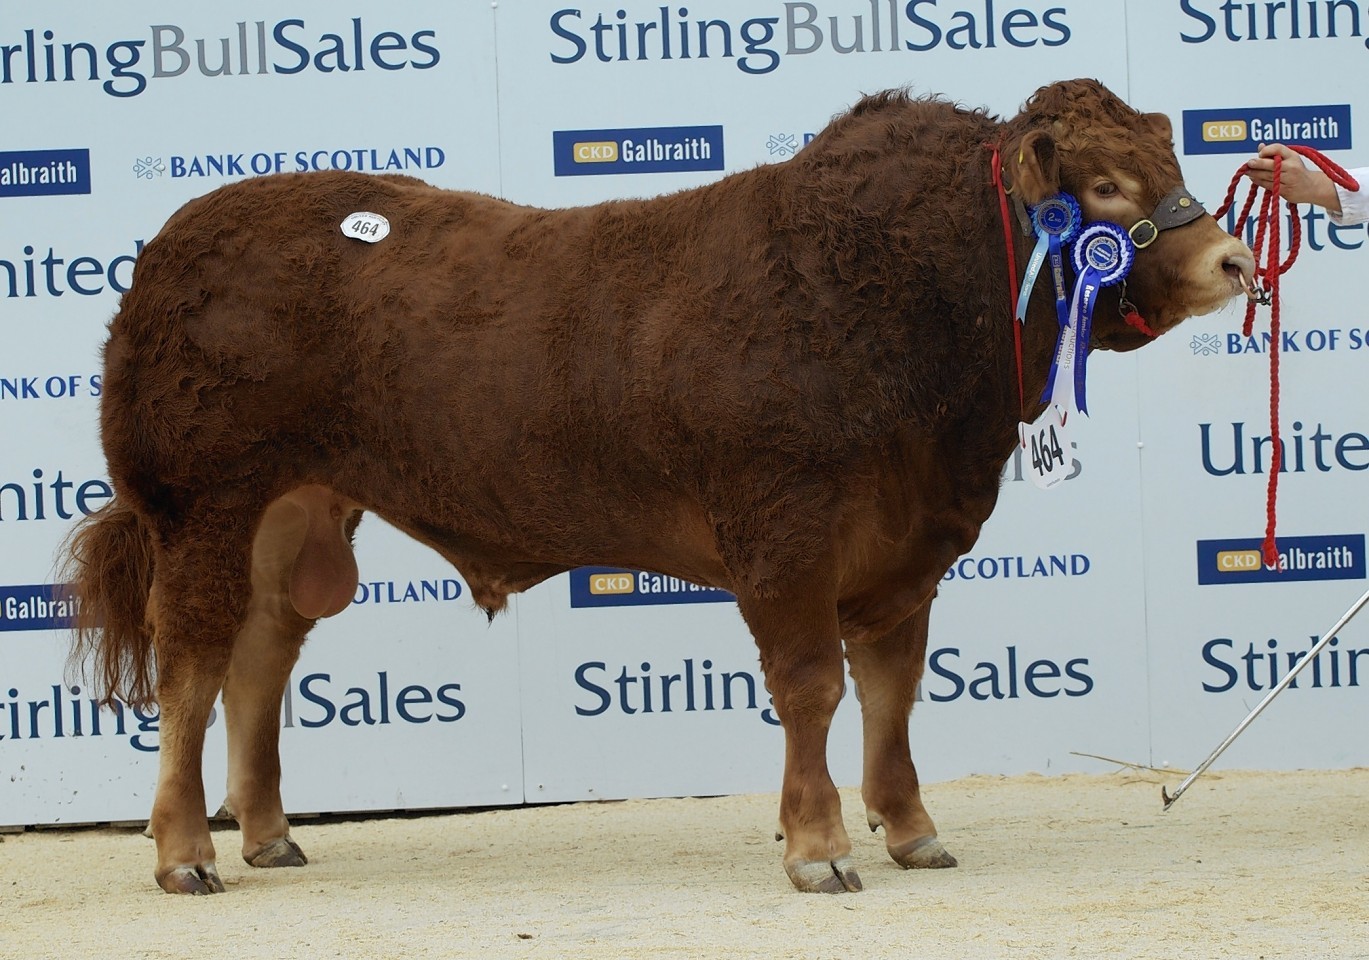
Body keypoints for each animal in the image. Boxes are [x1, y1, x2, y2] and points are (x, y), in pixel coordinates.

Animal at [69, 78, 1254, 892]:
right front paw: (818, 847)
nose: (1234, 260)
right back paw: (184, 853)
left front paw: (911, 830)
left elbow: (890, 693)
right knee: (191, 667)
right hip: (203, 502)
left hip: (297, 510)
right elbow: (812, 686)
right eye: (1101, 186)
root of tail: (180, 239)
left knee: (260, 659)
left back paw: (269, 835)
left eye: (1167, 157)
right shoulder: (785, 528)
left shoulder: (905, 547)